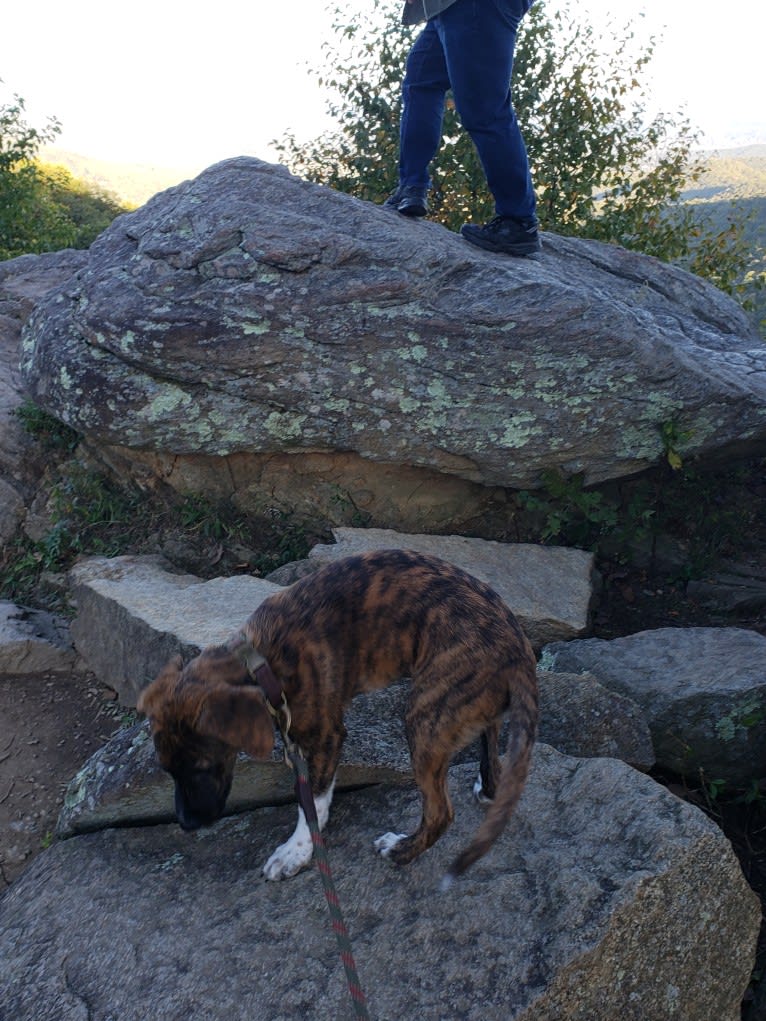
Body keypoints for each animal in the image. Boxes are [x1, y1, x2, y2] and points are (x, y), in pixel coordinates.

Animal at [139, 551, 547, 878]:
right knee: (492, 746)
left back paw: (400, 850)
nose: (187, 824)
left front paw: (296, 853)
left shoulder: (325, 739)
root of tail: (520, 653)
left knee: (440, 812)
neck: (260, 659)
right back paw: (487, 787)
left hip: (426, 719)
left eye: (201, 768)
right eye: (167, 770)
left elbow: (312, 801)